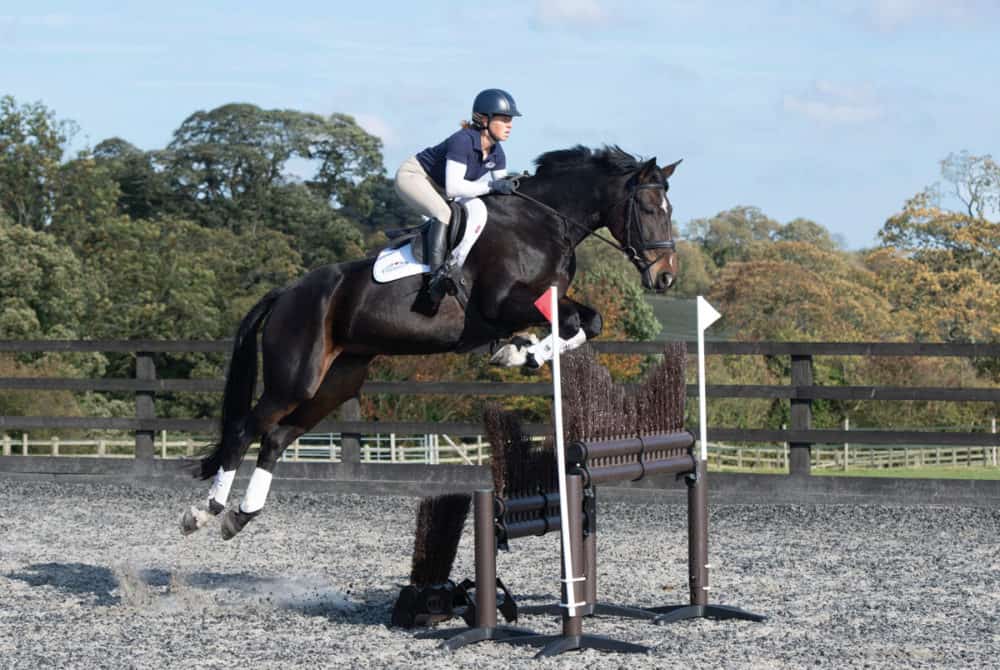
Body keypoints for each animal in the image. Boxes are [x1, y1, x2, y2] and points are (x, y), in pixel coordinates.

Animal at [180, 147, 680, 540]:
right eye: (649, 208)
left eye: (669, 209)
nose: (666, 277)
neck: (541, 221)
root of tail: (287, 292)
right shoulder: (503, 302)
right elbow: (576, 321)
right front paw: (522, 352)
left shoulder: (545, 300)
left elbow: (589, 321)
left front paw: (520, 351)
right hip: (295, 376)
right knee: (246, 430)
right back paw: (203, 512)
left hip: (336, 380)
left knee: (276, 437)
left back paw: (241, 515)